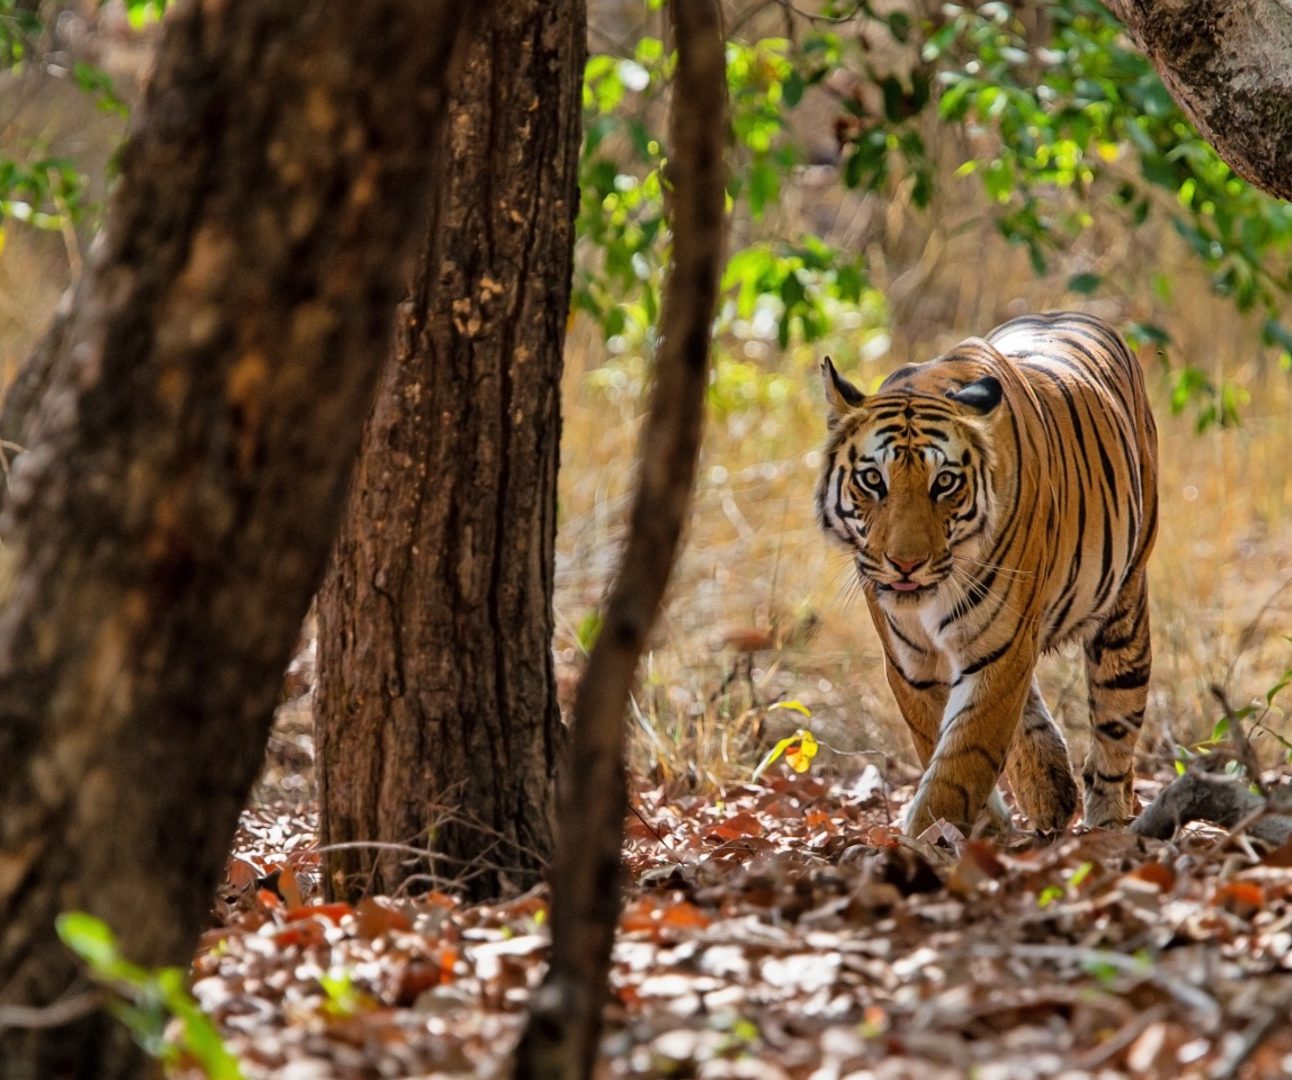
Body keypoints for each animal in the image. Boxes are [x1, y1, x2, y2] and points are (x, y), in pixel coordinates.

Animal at [811, 312, 1157, 837]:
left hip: (1124, 608)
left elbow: (964, 755)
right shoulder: (913, 665)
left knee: (1116, 725)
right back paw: (1050, 790)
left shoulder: (1001, 648)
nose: (906, 563)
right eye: (873, 479)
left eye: (944, 482)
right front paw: (976, 828)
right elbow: (943, 742)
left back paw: (1106, 820)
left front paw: (930, 833)